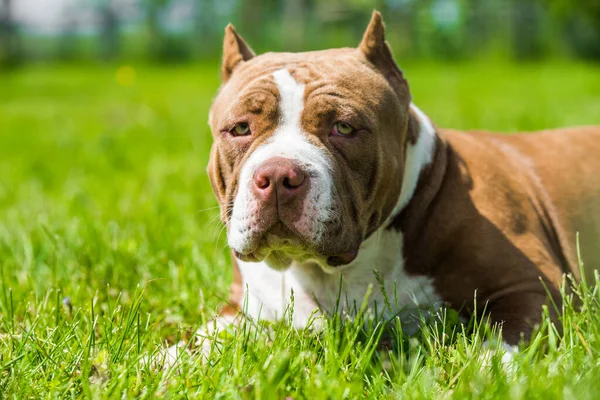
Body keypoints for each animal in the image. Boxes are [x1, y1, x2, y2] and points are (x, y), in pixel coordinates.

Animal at [191, 10, 600, 358]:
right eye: (240, 128)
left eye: (344, 127)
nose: (278, 176)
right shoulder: (241, 311)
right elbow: (198, 340)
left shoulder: (531, 288)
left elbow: (496, 352)